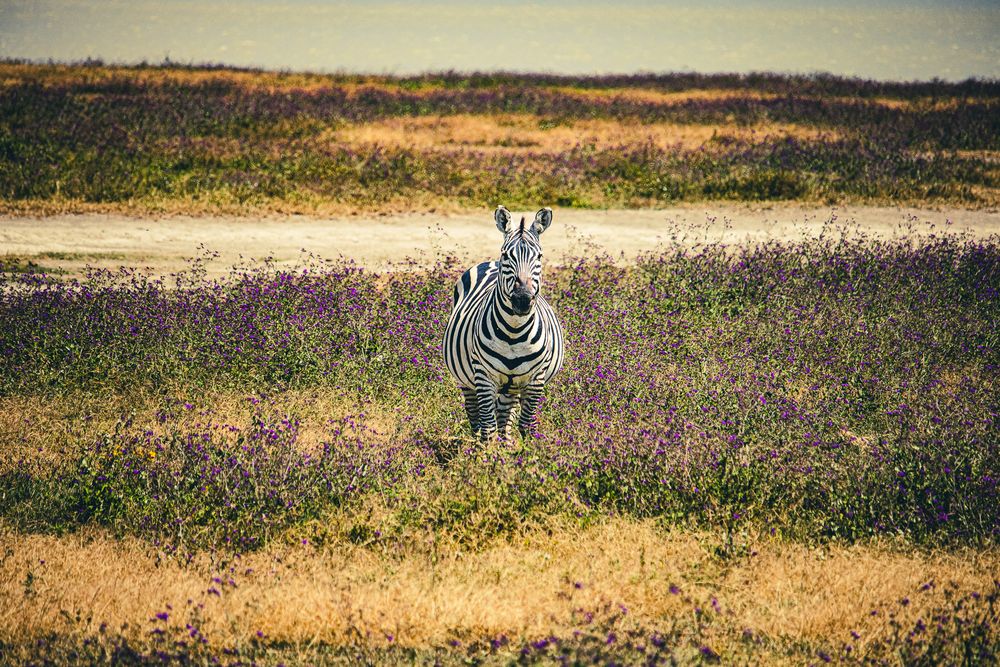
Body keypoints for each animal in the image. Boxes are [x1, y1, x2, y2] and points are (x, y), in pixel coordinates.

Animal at [443, 205, 564, 441]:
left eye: (539, 256)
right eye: (506, 255)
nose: (522, 299)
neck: (514, 331)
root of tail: (490, 262)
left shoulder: (535, 379)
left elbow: (526, 426)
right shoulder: (483, 376)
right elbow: (488, 428)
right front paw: (487, 452)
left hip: (512, 387)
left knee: (505, 421)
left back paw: (506, 445)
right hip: (467, 381)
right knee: (476, 417)